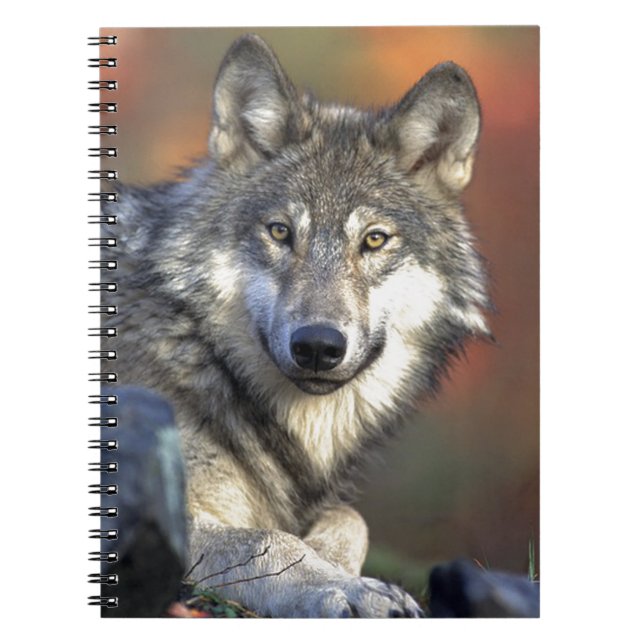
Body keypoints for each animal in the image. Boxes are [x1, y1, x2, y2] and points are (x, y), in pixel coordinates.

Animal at [103, 34, 490, 617]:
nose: (317, 346)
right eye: (281, 232)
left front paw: (334, 563)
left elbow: (351, 518)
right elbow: (268, 540)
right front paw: (346, 587)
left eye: (374, 240)